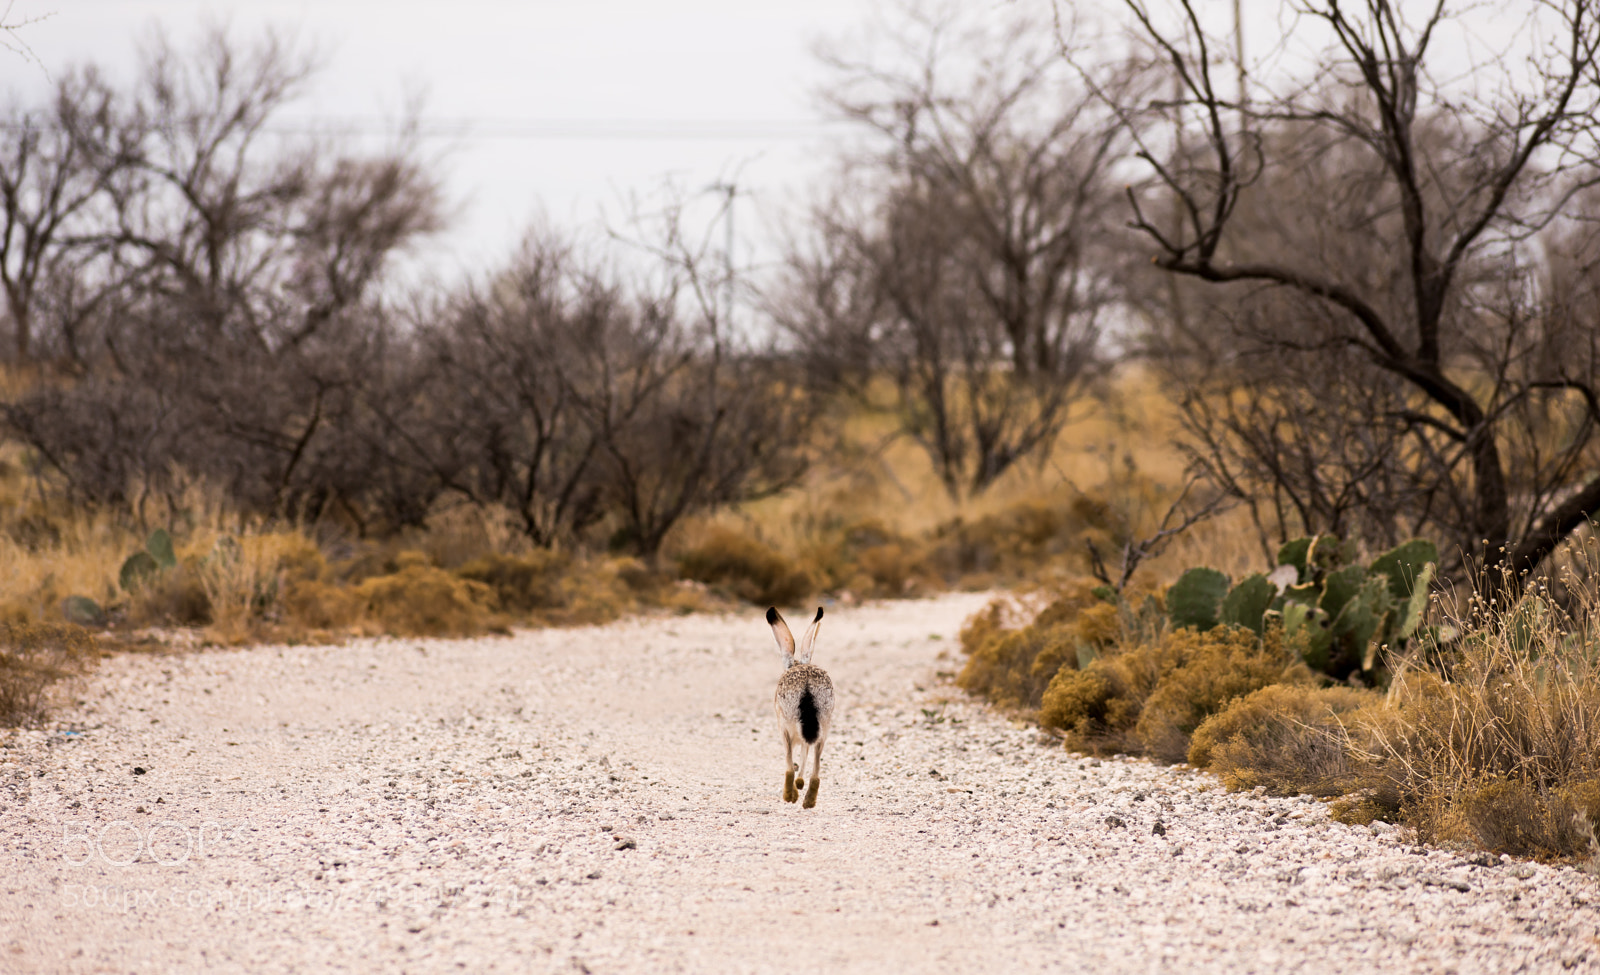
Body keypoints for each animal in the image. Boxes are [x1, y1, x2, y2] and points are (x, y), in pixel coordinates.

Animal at [767, 606, 834, 808]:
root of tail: (807, 687)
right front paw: (800, 783)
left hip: (785, 725)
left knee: (789, 764)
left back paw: (790, 796)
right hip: (823, 725)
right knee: (816, 766)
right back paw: (808, 800)